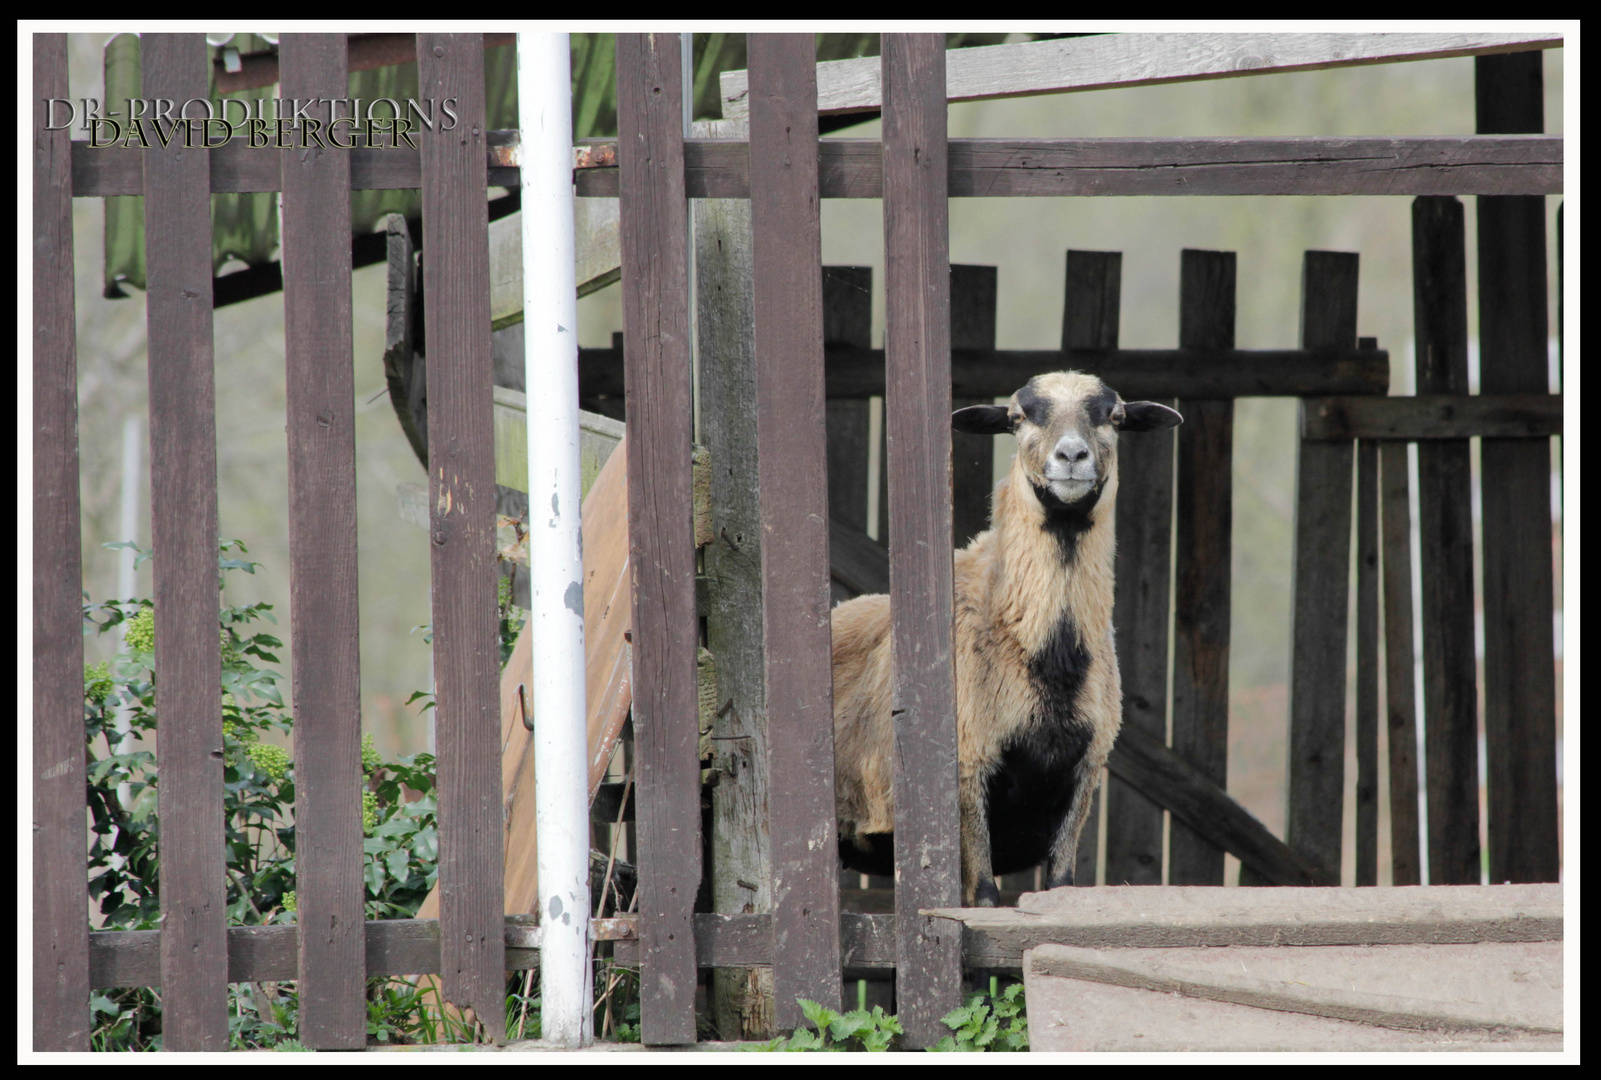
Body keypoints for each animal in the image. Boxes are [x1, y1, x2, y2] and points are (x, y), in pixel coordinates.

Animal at [832, 369, 1184, 902]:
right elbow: (985, 899)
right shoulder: (968, 769)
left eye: (1116, 416)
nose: (1072, 455)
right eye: (1018, 418)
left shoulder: (1082, 774)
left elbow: (1060, 886)